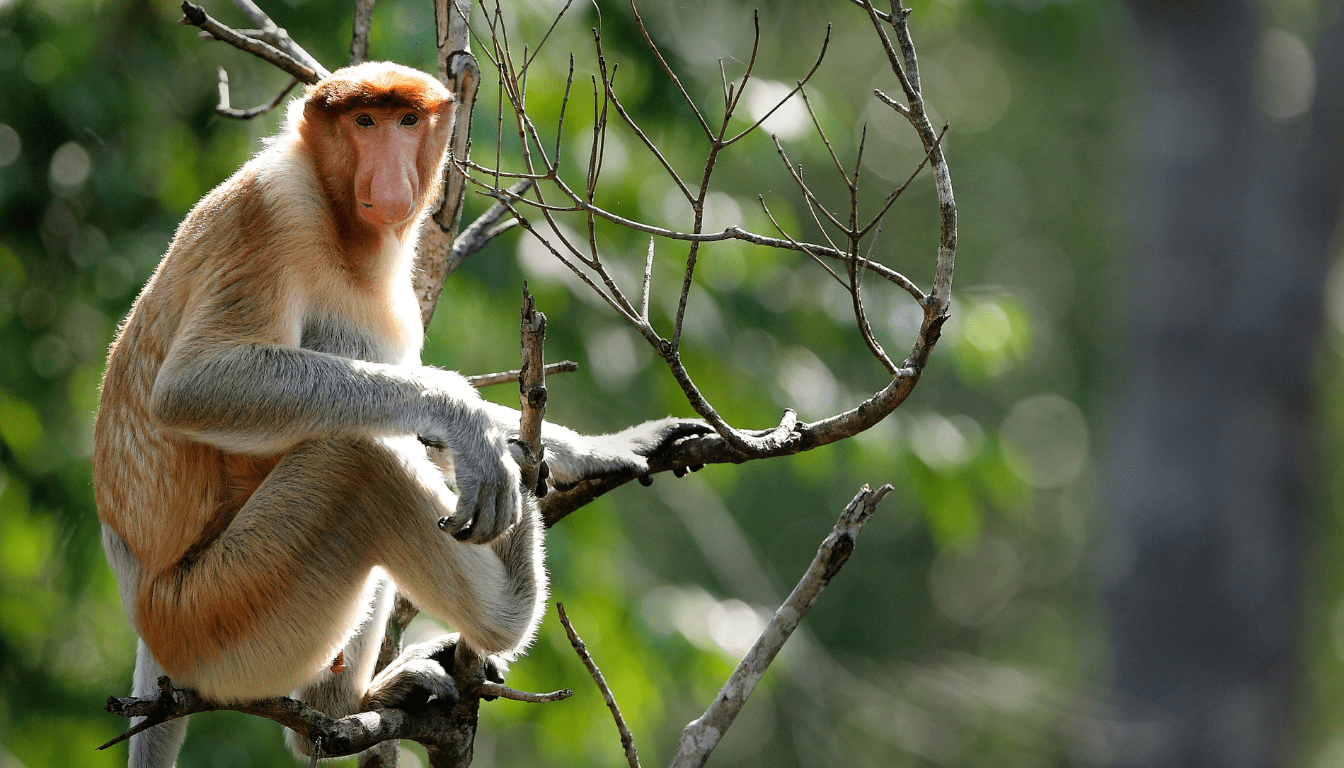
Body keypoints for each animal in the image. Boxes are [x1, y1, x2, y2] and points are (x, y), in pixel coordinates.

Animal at [92, 63, 704, 763]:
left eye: (407, 122)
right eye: (364, 122)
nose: (390, 182)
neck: (340, 226)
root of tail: (147, 621)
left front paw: (603, 447)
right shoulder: (270, 214)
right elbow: (194, 383)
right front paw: (466, 420)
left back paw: (353, 702)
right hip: (218, 615)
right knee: (358, 463)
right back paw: (504, 605)